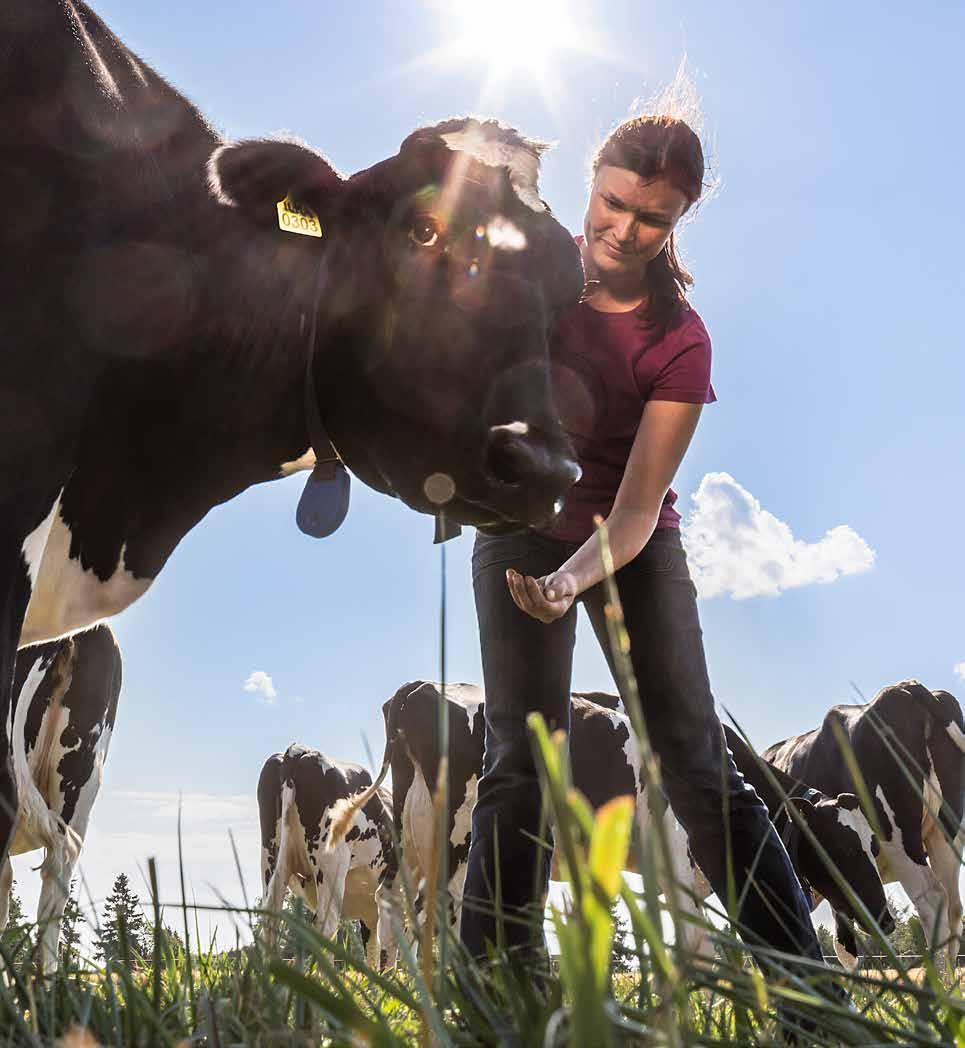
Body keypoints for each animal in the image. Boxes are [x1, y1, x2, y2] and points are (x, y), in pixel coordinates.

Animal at [255, 746, 396, 964]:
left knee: (270, 922)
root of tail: (299, 750)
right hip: (331, 866)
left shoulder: (372, 914)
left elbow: (375, 952)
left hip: (271, 859)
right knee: (325, 927)